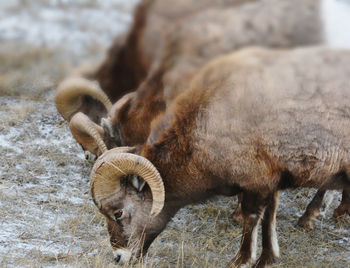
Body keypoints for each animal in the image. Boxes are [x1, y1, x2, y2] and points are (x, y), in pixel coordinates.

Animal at [89, 47, 350, 266]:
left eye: (118, 212)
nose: (119, 257)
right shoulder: (271, 182)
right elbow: (269, 219)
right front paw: (266, 259)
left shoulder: (256, 184)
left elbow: (251, 217)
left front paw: (240, 260)